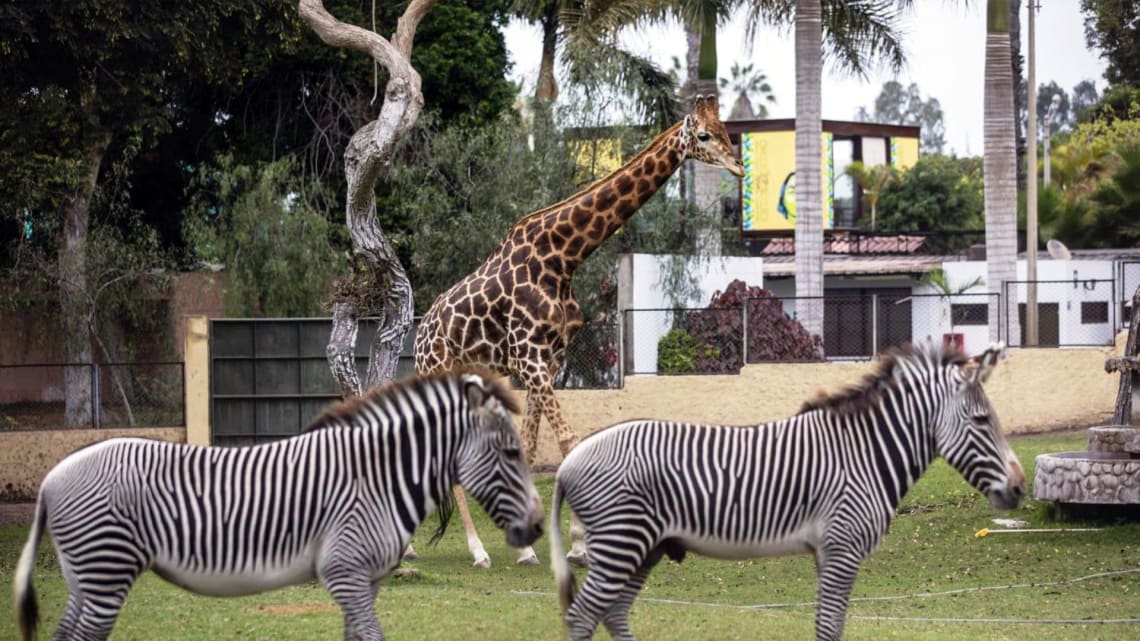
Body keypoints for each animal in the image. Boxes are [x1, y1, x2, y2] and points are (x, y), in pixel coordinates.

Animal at [8, 364, 542, 638]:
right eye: (512, 452)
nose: (538, 529)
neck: (378, 477)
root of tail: (52, 477)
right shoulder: (344, 570)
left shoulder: (365, 581)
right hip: (105, 574)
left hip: (86, 578)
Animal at [408, 93, 738, 563]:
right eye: (706, 135)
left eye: (728, 130)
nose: (738, 166)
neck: (563, 257)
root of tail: (419, 336)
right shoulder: (529, 356)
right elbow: (567, 441)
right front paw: (579, 546)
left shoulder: (548, 359)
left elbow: (531, 446)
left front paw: (534, 547)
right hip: (439, 373)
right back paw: (472, 551)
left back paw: (419, 548)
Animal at [547, 339, 1030, 638]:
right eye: (982, 421)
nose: (1021, 488)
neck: (866, 453)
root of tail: (568, 462)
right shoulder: (842, 547)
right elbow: (829, 626)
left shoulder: (827, 552)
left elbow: (829, 624)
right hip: (621, 542)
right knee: (582, 615)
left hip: (644, 547)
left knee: (613, 612)